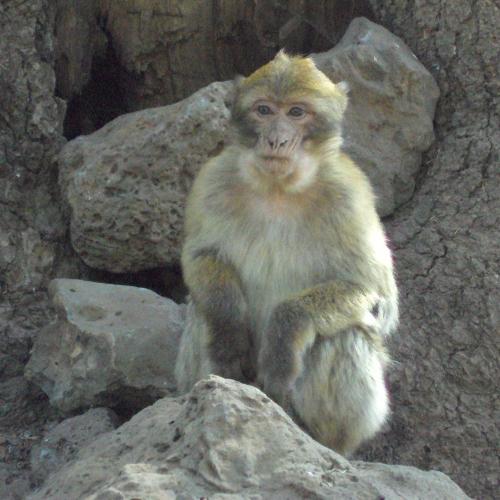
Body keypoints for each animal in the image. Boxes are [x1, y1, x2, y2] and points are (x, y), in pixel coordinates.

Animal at [175, 51, 398, 455]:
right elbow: (201, 257)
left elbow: (378, 297)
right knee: (203, 310)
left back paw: (314, 436)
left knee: (347, 332)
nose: (277, 139)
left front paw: (284, 332)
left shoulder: (351, 196)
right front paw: (229, 325)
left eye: (296, 112)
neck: (278, 188)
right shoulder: (211, 179)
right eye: (264, 110)